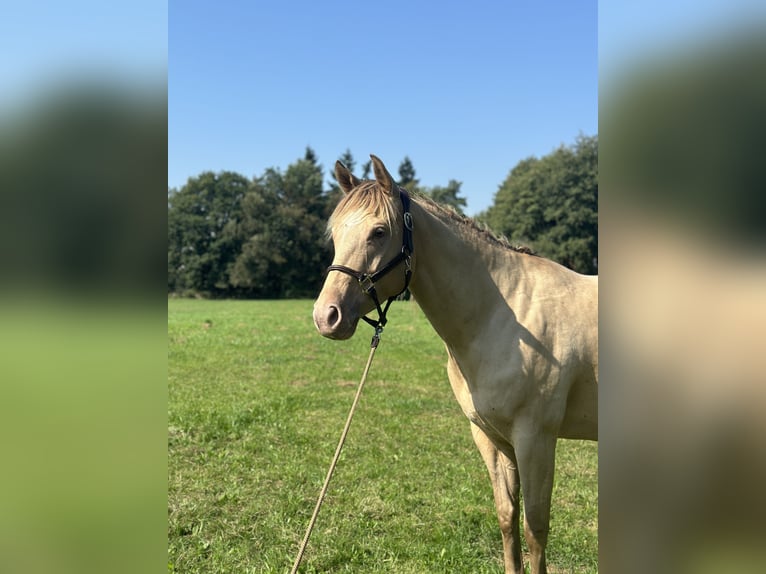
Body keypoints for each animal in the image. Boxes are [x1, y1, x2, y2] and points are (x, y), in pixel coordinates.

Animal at [314, 155, 600, 574]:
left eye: (379, 232)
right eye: (335, 235)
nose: (326, 317)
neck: (505, 316)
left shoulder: (535, 438)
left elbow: (535, 529)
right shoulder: (491, 437)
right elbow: (507, 517)